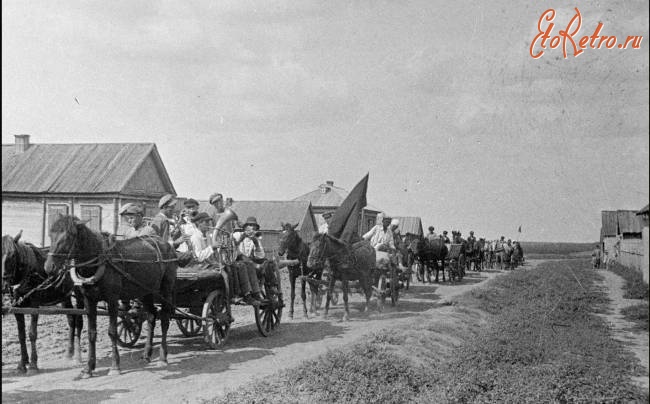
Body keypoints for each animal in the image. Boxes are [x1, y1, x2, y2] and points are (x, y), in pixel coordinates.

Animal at [1, 232, 83, 374]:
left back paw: (78, 356)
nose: (3, 284)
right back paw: (69, 352)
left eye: (12, 255)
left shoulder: (34, 306)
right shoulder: (16, 307)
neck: (28, 271)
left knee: (79, 321)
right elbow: (21, 335)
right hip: (65, 296)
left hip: (79, 294)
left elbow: (32, 334)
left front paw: (33, 364)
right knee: (71, 319)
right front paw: (22, 363)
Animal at [43, 216, 177, 378]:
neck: (98, 262)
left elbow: (112, 332)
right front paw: (88, 368)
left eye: (69, 236)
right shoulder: (89, 301)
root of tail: (167, 244)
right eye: (51, 235)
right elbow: (91, 333)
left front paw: (115, 366)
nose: (49, 267)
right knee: (151, 316)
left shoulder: (112, 300)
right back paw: (147, 354)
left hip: (166, 289)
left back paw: (163, 357)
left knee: (164, 319)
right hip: (146, 291)